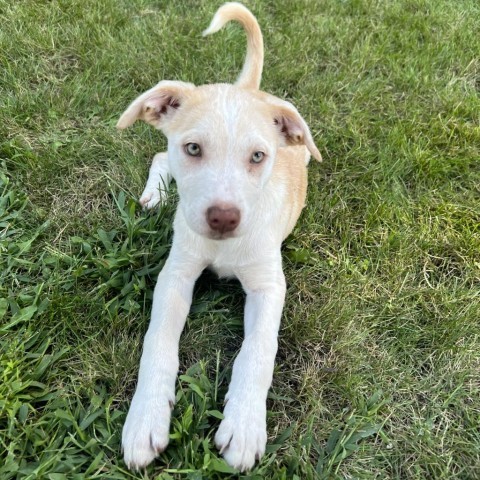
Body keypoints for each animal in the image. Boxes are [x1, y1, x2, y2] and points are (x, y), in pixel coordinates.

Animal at [116, 0, 320, 472]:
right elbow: (158, 341)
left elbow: (258, 351)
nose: (223, 219)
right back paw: (155, 195)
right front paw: (145, 418)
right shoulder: (176, 274)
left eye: (258, 157)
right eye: (194, 148)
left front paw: (243, 425)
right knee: (160, 156)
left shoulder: (268, 286)